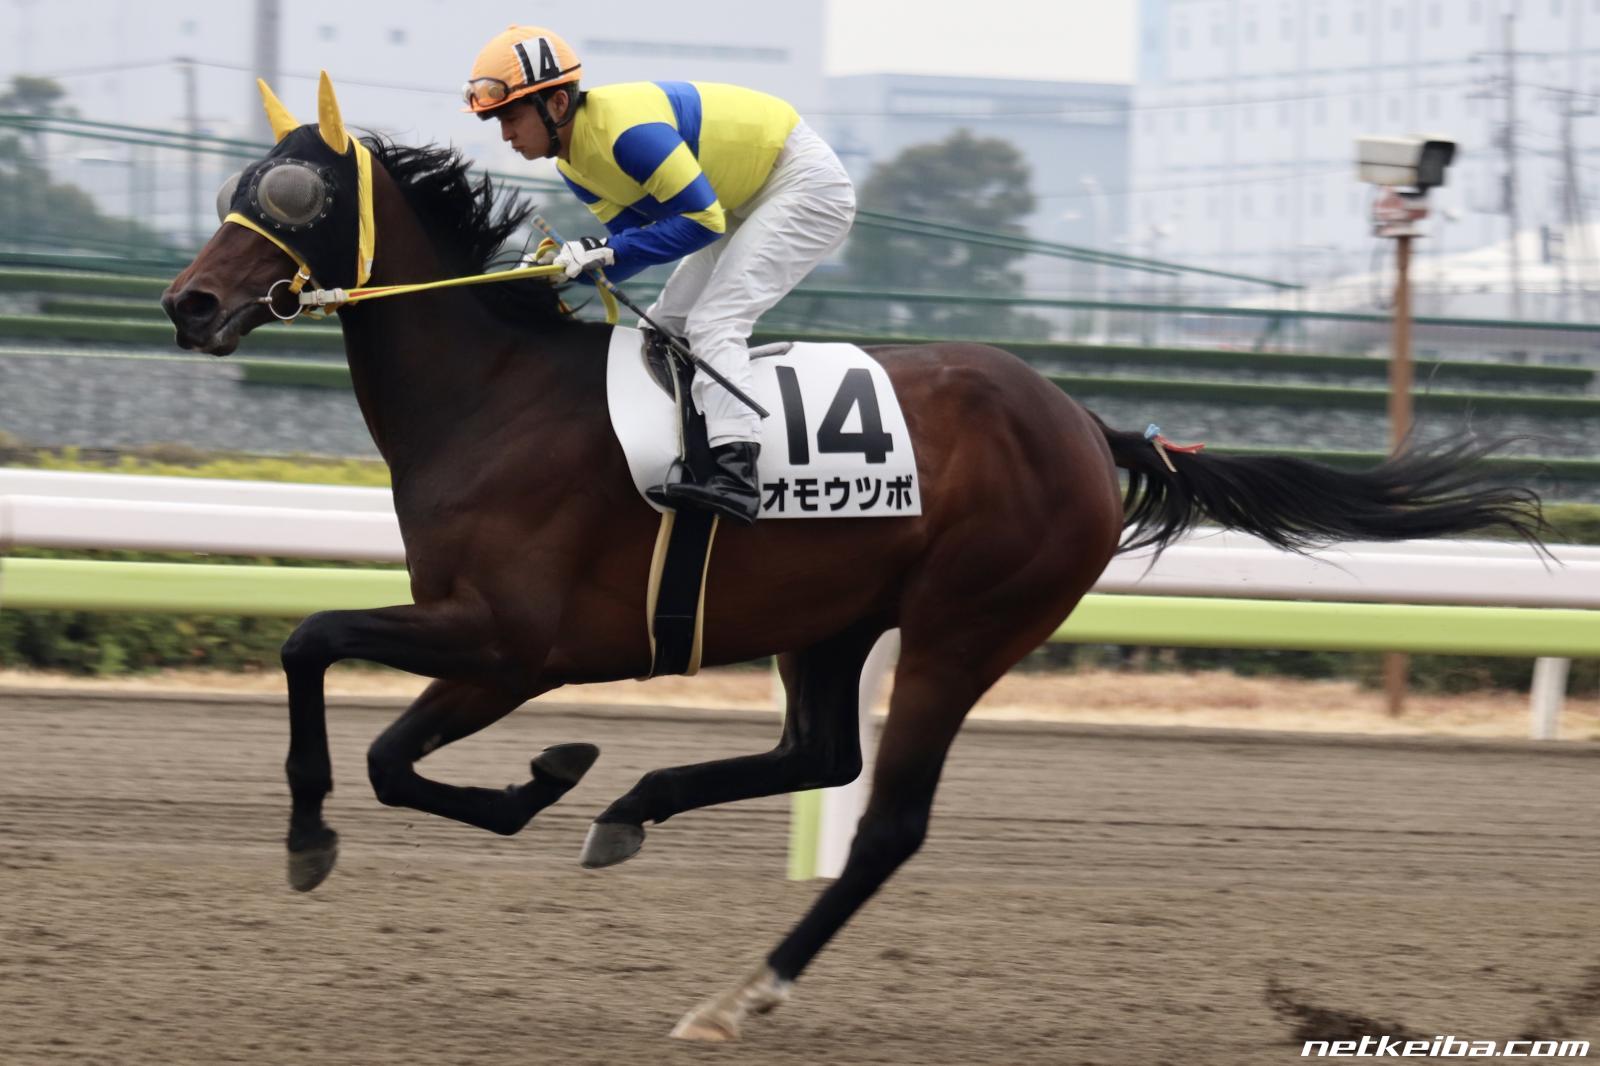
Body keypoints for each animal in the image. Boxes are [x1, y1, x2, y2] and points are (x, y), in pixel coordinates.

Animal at [161, 77, 1544, 1042]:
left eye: (291, 199)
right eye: (239, 177)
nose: (188, 304)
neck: (495, 397)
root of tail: (1085, 424)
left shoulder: (516, 639)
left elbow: (320, 658)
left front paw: (341, 828)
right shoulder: (488, 641)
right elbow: (381, 740)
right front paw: (551, 779)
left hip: (963, 625)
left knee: (884, 820)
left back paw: (738, 993)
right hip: (832, 617)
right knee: (818, 752)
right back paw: (630, 808)